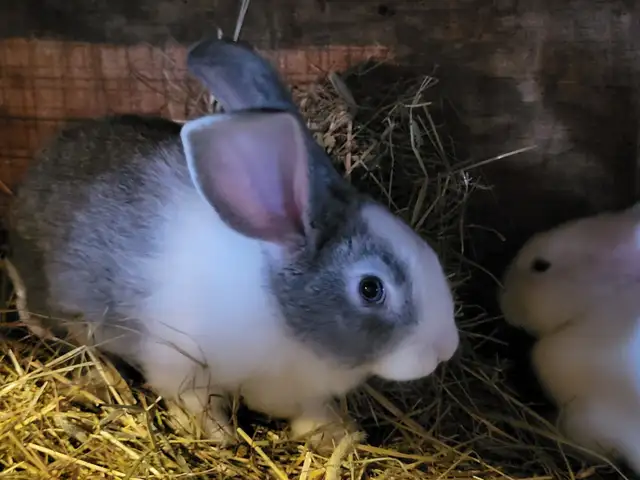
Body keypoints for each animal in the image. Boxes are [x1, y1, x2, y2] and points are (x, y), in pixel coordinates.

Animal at [7, 36, 460, 451]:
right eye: (370, 288)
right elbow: (195, 403)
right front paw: (218, 436)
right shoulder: (180, 364)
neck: (280, 313)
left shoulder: (299, 393)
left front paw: (337, 435)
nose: (446, 349)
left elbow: (308, 414)